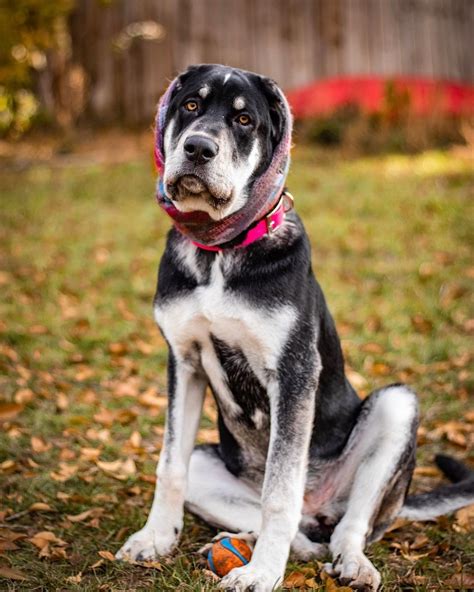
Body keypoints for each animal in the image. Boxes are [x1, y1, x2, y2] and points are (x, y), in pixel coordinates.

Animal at [115, 62, 474, 588]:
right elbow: (169, 466)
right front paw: (155, 538)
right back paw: (250, 543)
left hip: (396, 408)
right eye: (191, 105)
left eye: (244, 120)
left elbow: (279, 491)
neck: (222, 250)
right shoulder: (183, 362)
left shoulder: (294, 372)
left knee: (348, 526)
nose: (198, 148)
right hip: (210, 462)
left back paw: (350, 563)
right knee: (298, 531)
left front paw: (262, 574)